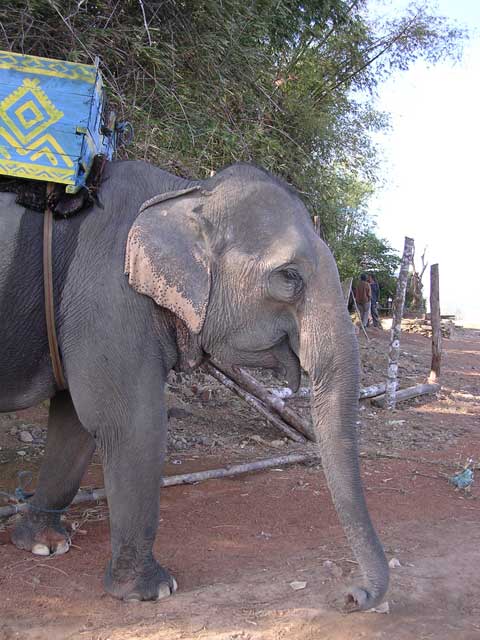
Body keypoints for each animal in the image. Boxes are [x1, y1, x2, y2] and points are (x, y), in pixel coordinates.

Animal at [0, 161, 390, 608]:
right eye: (289, 277)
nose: (353, 596)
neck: (186, 191)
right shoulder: (108, 296)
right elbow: (130, 425)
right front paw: (152, 591)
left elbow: (77, 422)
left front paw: (44, 544)